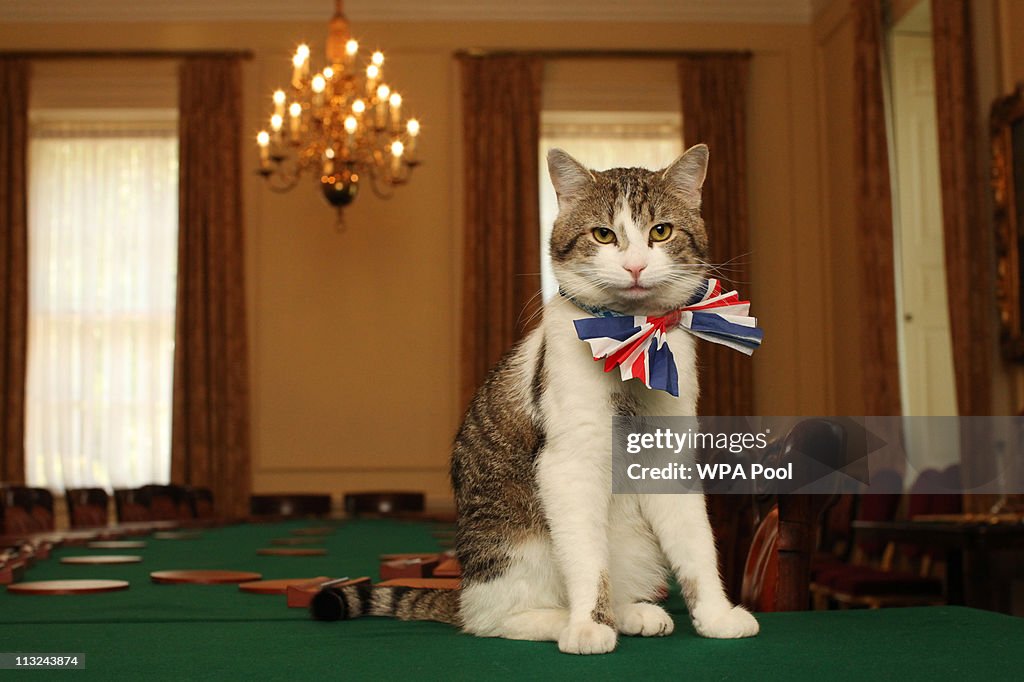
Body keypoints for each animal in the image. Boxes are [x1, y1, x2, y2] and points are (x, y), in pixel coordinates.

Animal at [325, 144, 761, 655]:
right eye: (603, 234)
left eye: (661, 231)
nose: (634, 266)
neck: (633, 336)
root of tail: (463, 592)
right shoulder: (567, 465)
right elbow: (587, 562)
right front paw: (588, 626)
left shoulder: (669, 459)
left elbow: (696, 546)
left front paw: (716, 615)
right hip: (518, 546)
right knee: (496, 619)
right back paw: (560, 621)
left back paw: (630, 612)